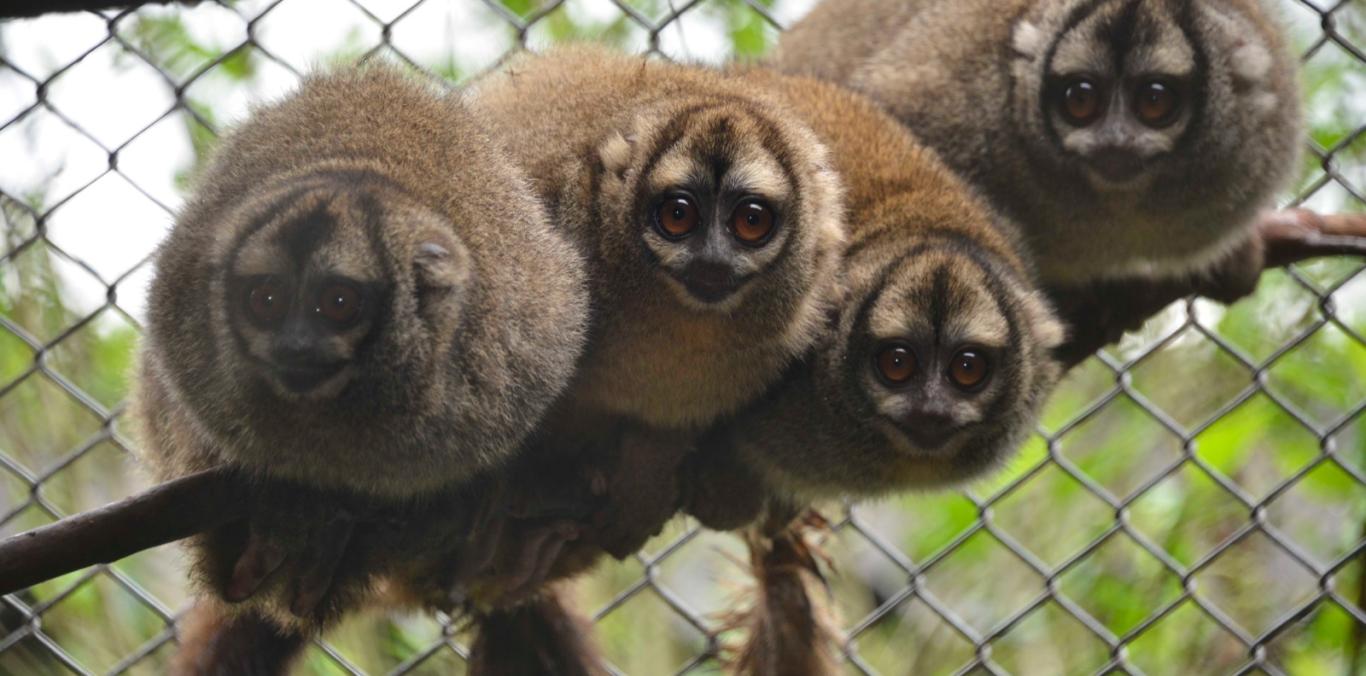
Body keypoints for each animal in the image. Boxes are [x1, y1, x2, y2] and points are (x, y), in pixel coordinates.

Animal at [131, 64, 590, 669]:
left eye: (339, 303)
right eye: (265, 300)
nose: (295, 345)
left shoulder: (518, 349)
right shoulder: (187, 326)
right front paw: (286, 514)